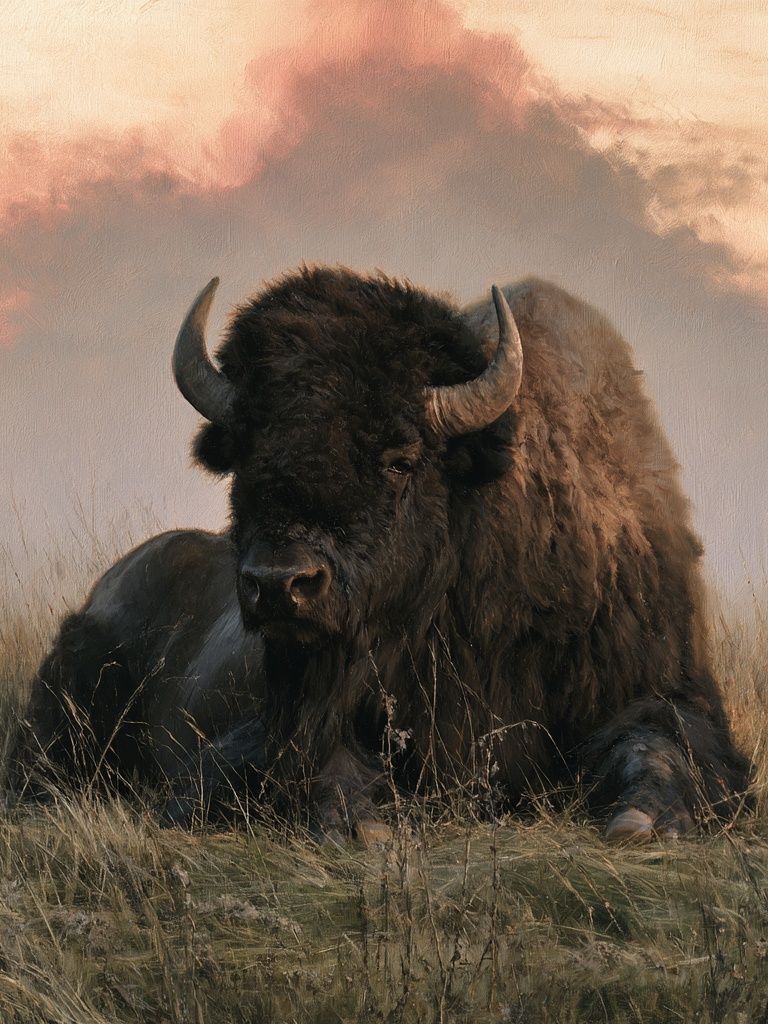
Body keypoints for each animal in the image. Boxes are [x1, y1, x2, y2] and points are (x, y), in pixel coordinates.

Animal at [13, 266, 750, 841]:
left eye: (400, 458)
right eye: (245, 453)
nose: (280, 584)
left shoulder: (662, 687)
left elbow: (661, 746)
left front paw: (646, 823)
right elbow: (322, 763)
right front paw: (355, 824)